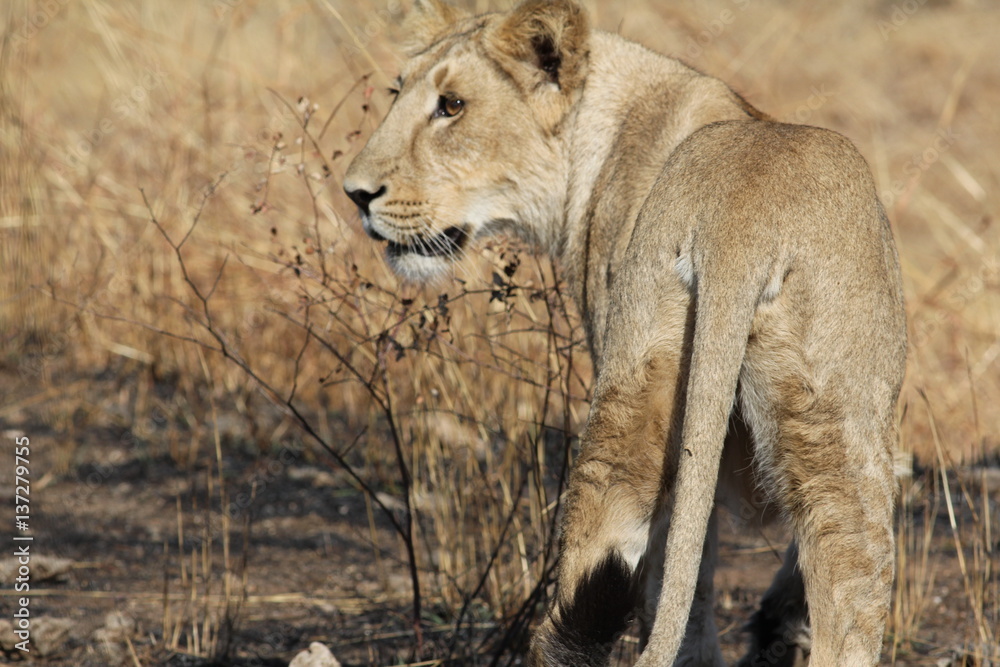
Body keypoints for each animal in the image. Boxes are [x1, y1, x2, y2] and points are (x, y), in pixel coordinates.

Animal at [343, 1, 907, 665]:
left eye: (452, 105)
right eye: (397, 93)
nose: (355, 194)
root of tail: (740, 223)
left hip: (651, 381)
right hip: (820, 420)